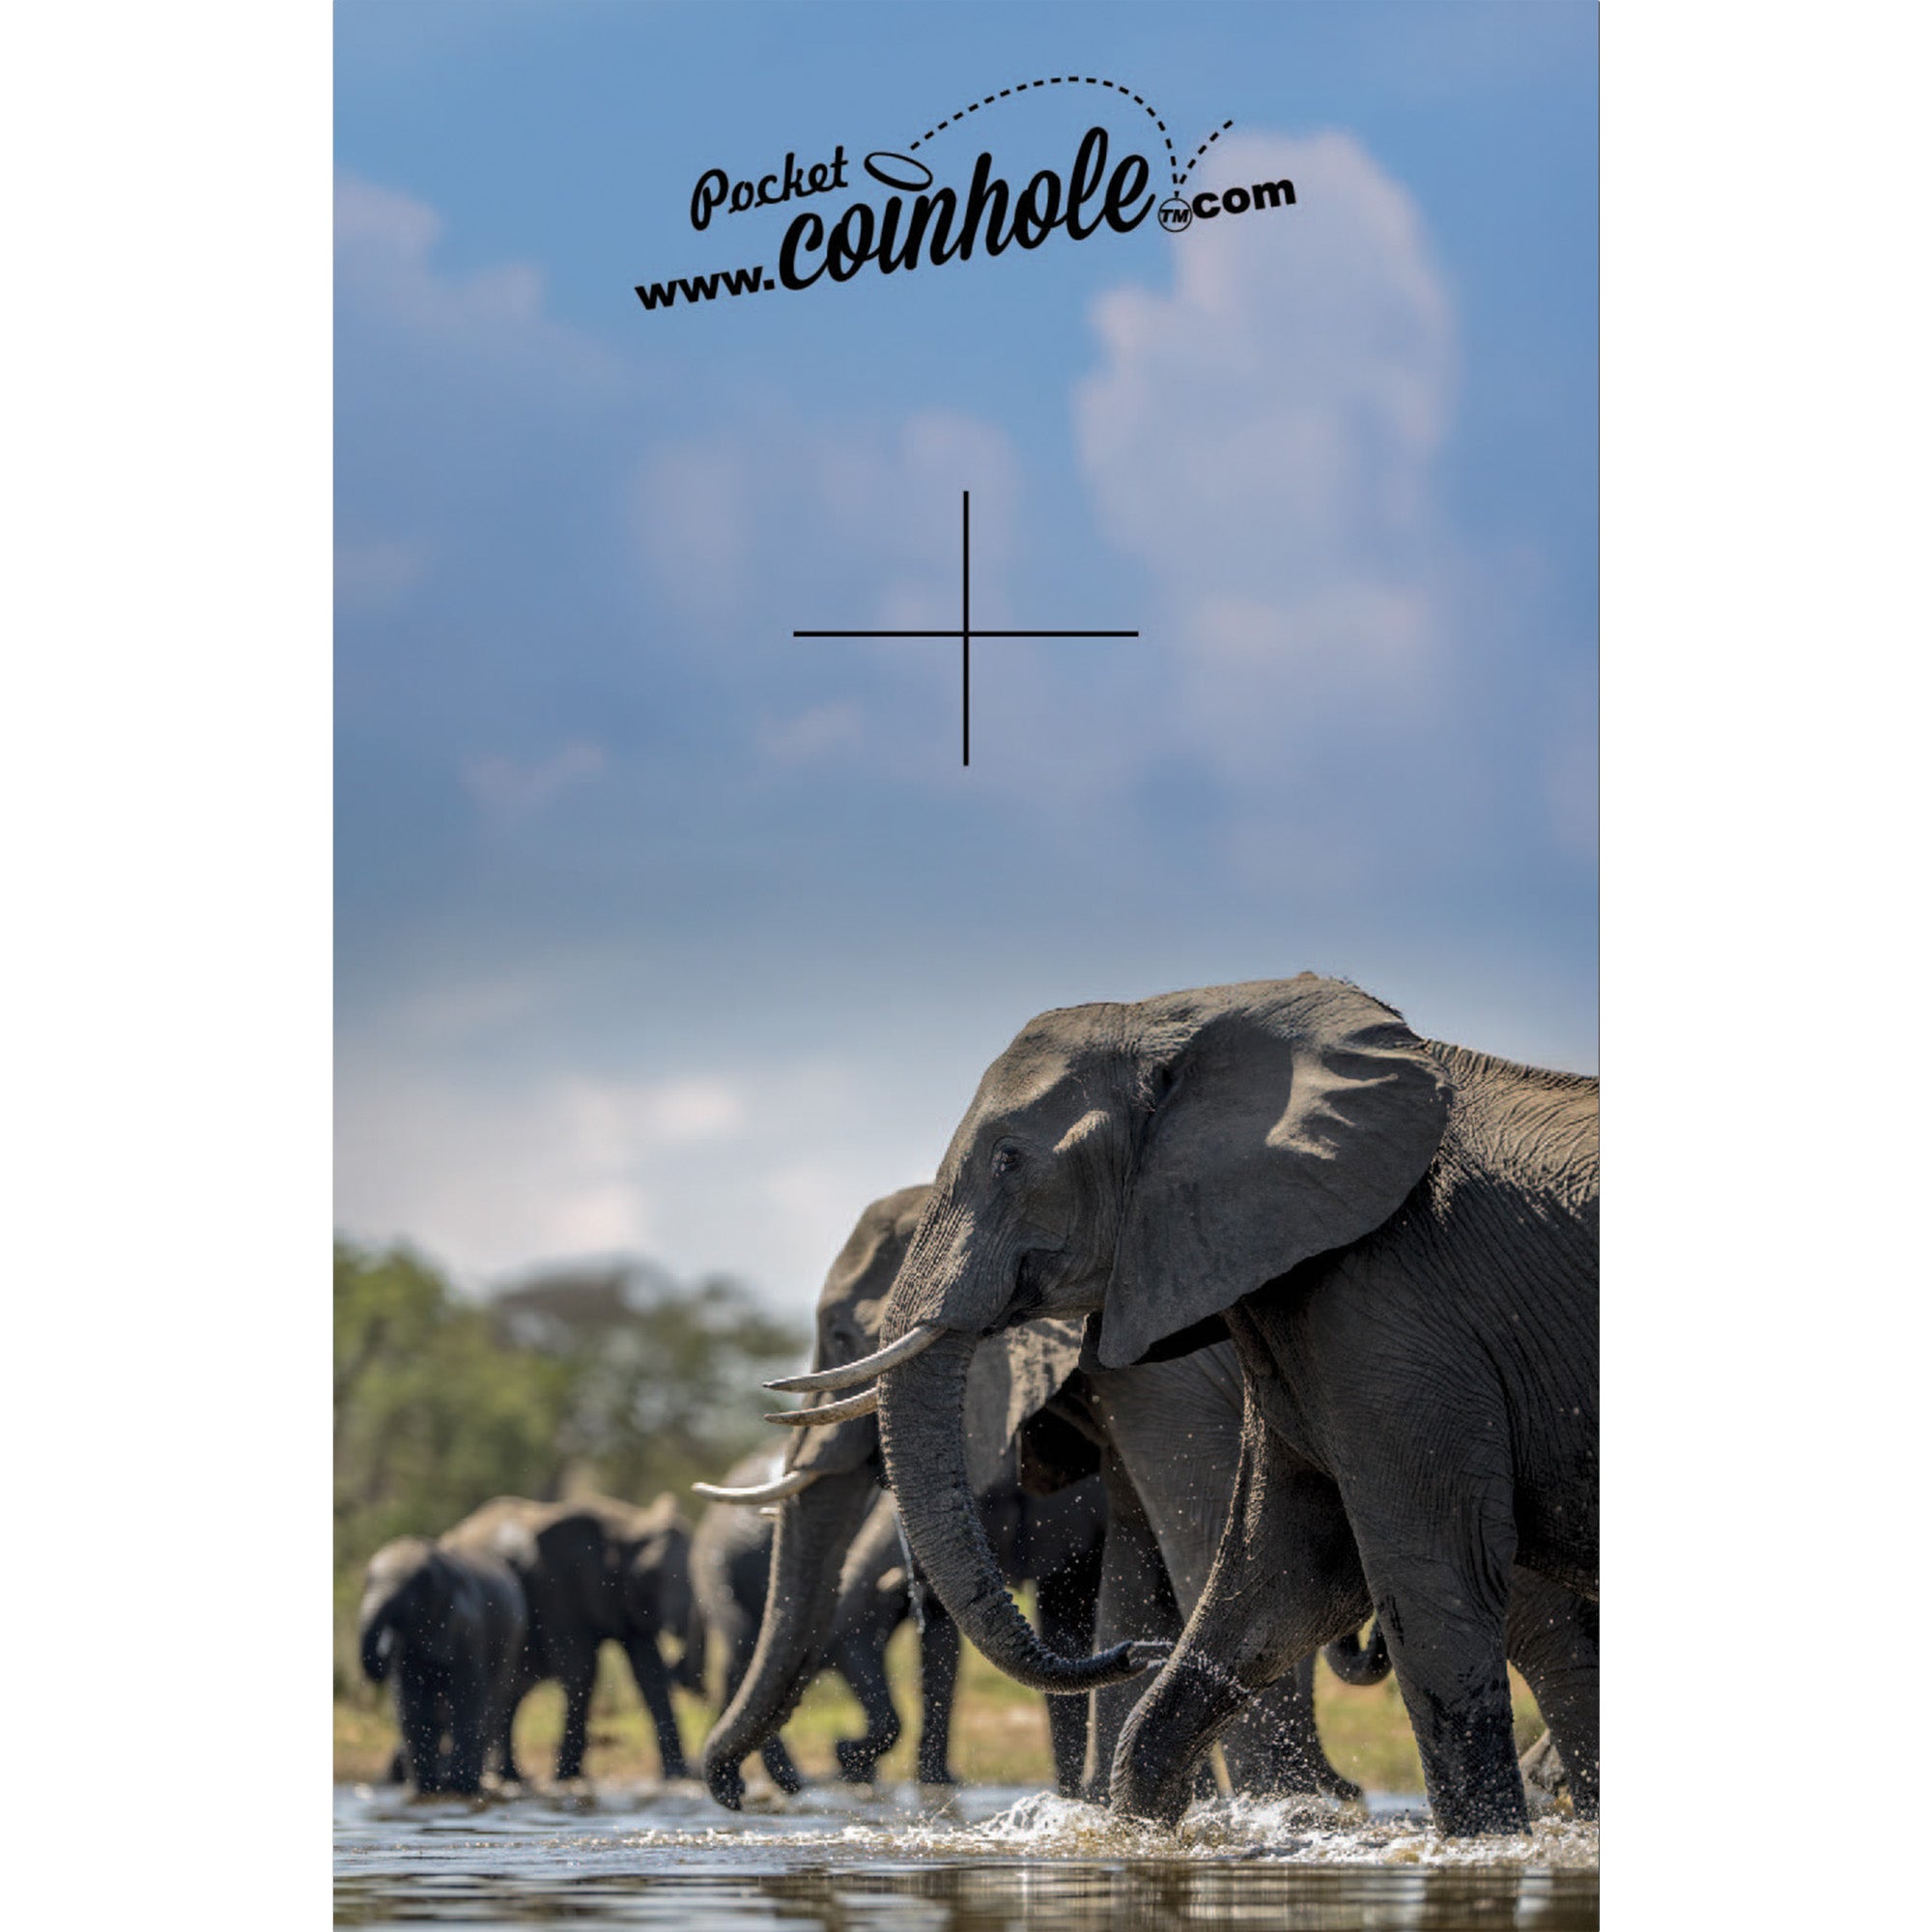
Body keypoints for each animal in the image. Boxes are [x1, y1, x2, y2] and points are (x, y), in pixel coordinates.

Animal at [358, 1528, 528, 1794]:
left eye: (414, 1589)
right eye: (366, 1582)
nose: (384, 1651)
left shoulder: (469, 1626)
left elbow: (467, 1696)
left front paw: (461, 1786)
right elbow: (410, 1702)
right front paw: (425, 1788)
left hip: (512, 1640)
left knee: (492, 1705)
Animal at [449, 1492, 704, 1782]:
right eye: (650, 1574)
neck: (626, 1525)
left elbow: (650, 1673)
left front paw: (676, 1776)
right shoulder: (557, 1584)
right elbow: (582, 1668)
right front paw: (567, 1776)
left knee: (511, 1693)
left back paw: (511, 1776)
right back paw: (505, 1776)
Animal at [845, 975, 1596, 1836]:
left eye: (1008, 1158)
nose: (1131, 1658)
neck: (1194, 1012)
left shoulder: (1397, 1303)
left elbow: (1430, 1570)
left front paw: (1482, 1847)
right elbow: (1282, 1575)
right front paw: (1143, 1833)